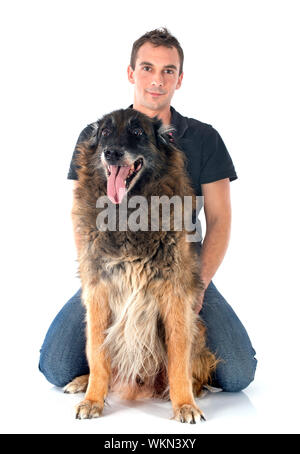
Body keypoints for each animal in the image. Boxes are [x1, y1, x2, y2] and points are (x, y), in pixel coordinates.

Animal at [64, 106, 217, 422]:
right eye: (105, 132)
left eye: (137, 132)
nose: (111, 153)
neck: (127, 213)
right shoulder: (98, 293)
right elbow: (97, 355)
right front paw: (93, 399)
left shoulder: (175, 297)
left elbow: (179, 359)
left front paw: (184, 404)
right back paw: (82, 382)